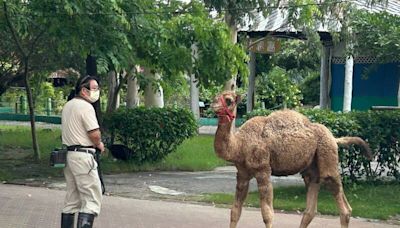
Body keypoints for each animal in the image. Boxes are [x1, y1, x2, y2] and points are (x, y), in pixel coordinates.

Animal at [211, 91, 374, 228]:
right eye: (216, 96)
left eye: (229, 100)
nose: (213, 105)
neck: (239, 144)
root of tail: (334, 137)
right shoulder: (242, 174)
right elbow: (235, 211)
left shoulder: (263, 170)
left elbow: (267, 214)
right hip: (311, 169)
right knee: (311, 206)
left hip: (327, 155)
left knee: (343, 205)